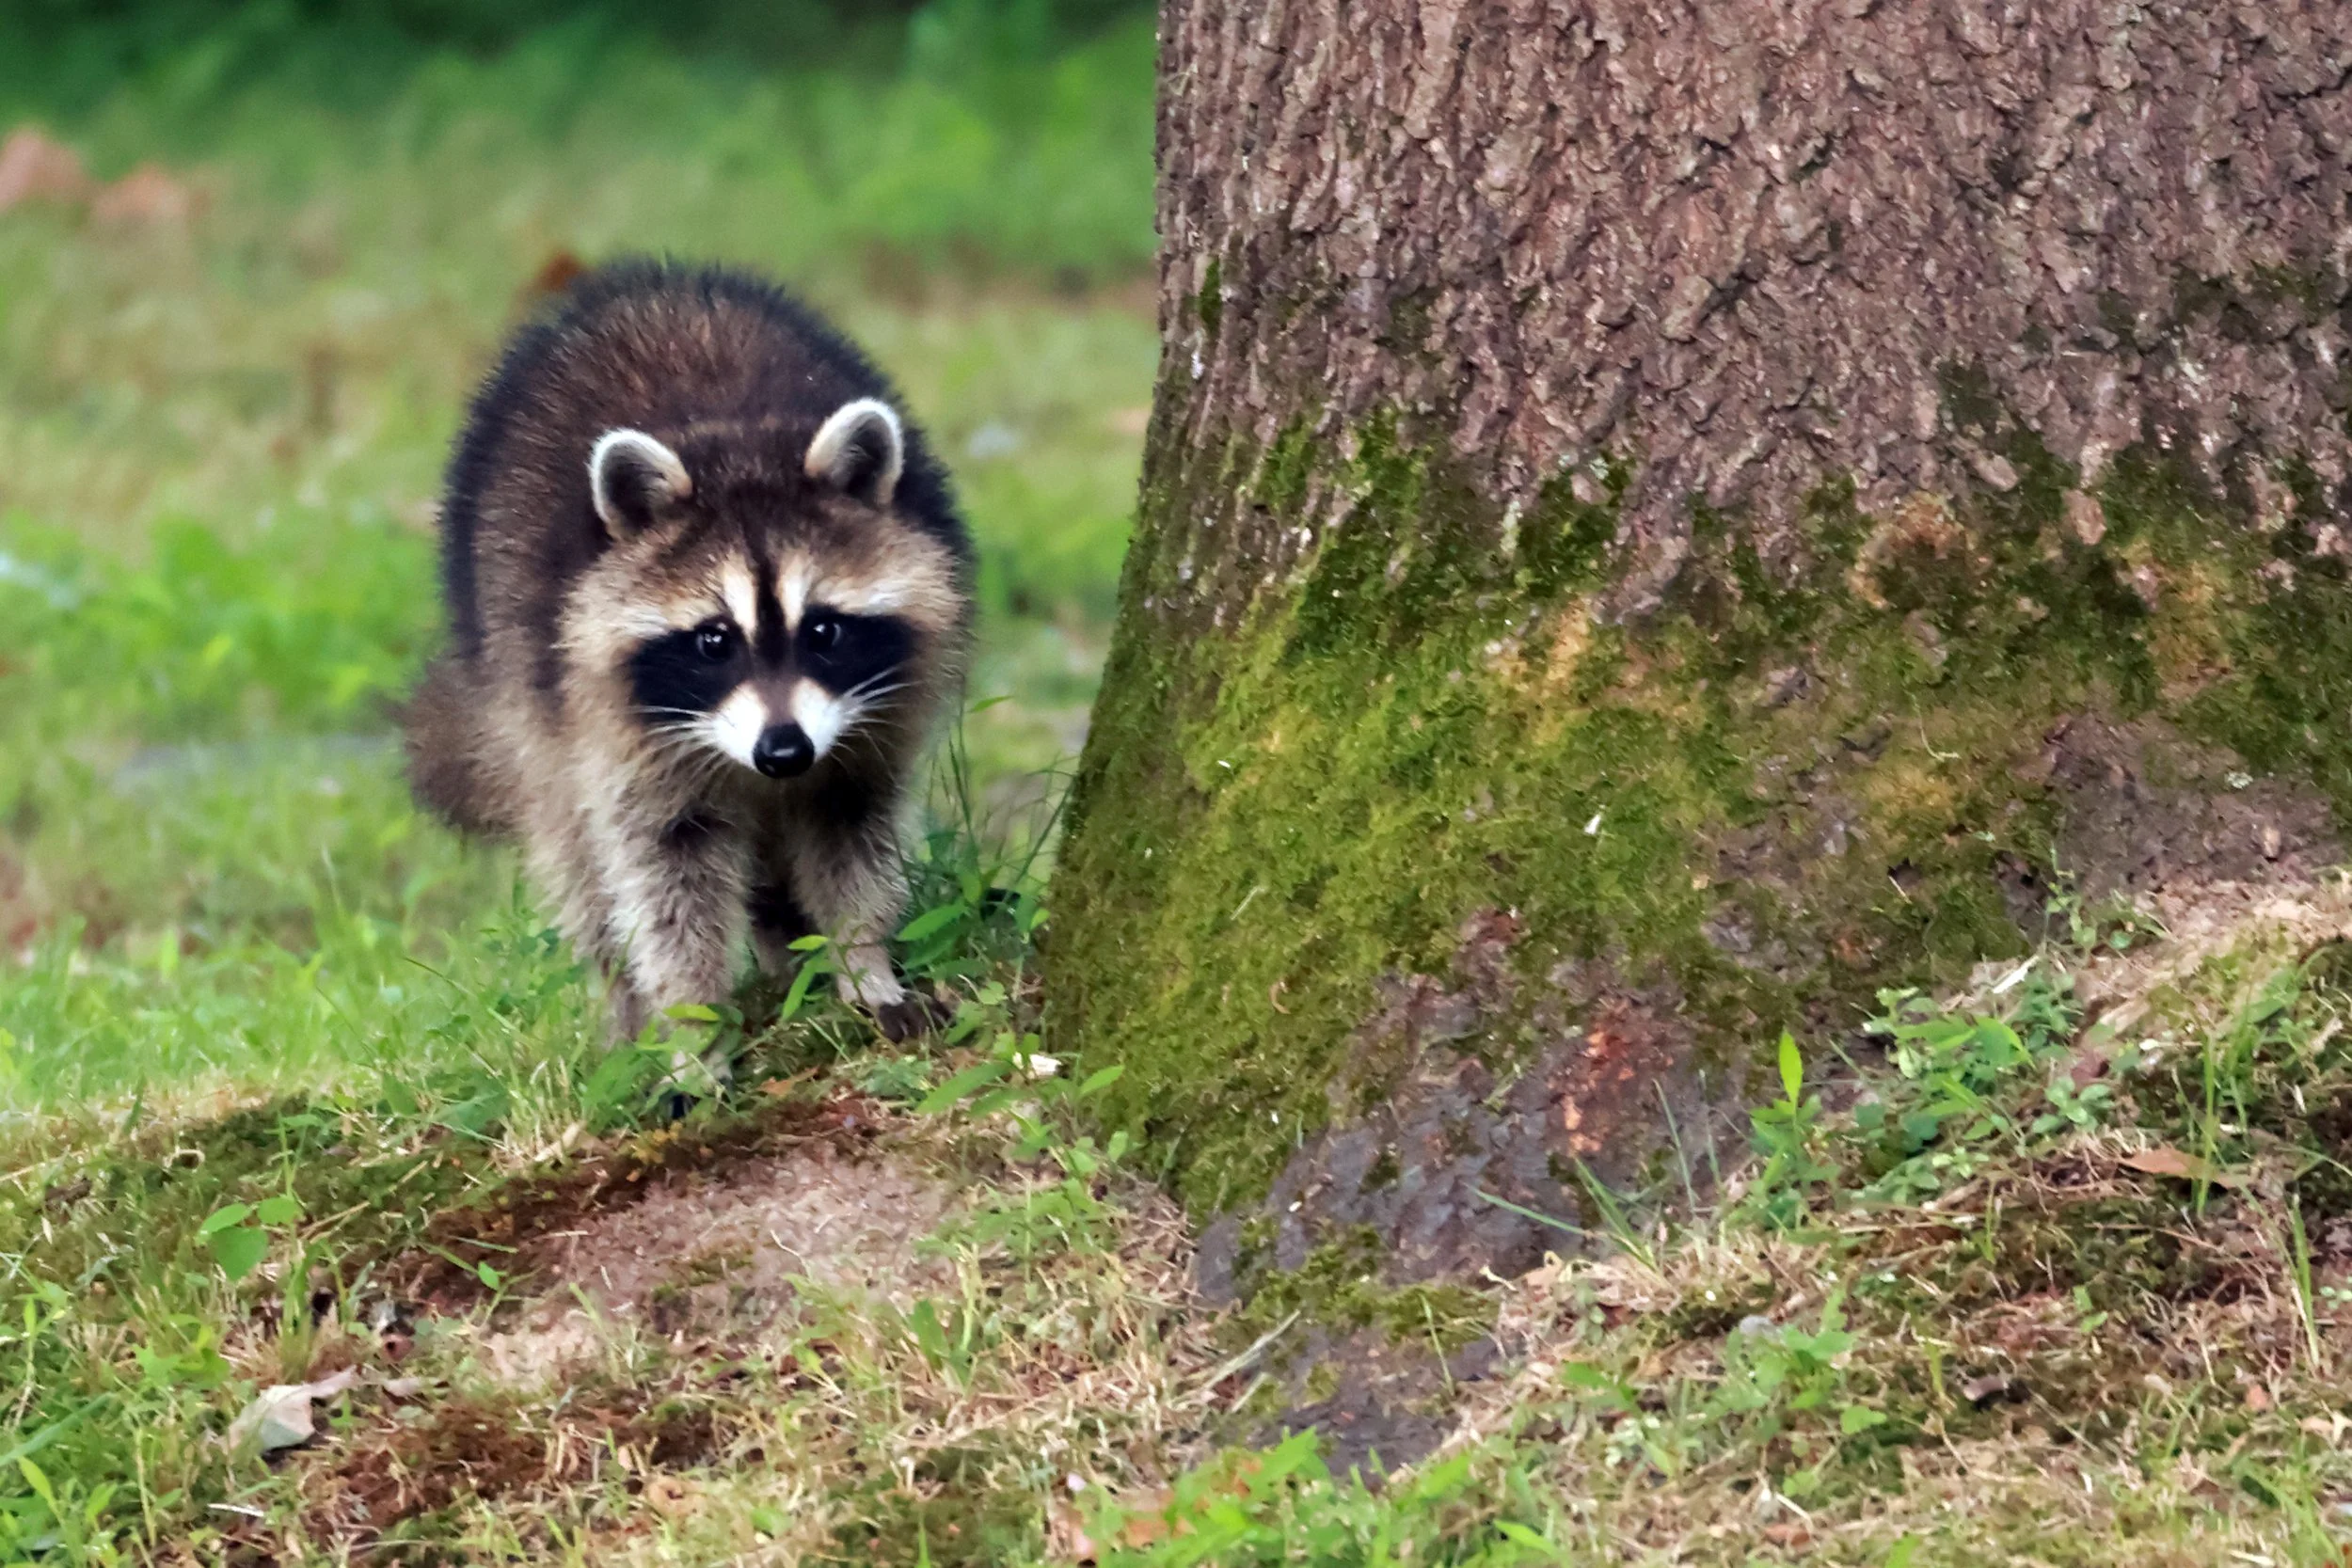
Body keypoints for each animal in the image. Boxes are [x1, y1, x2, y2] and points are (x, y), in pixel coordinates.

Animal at [403, 259, 973, 1044]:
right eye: (713, 640)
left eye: (823, 631)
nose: (783, 751)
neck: (736, 447)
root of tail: (645, 285)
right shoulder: (607, 721)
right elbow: (664, 873)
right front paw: (691, 1024)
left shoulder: (872, 720)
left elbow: (853, 831)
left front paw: (864, 957)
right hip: (516, 683)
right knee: (576, 857)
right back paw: (626, 1010)